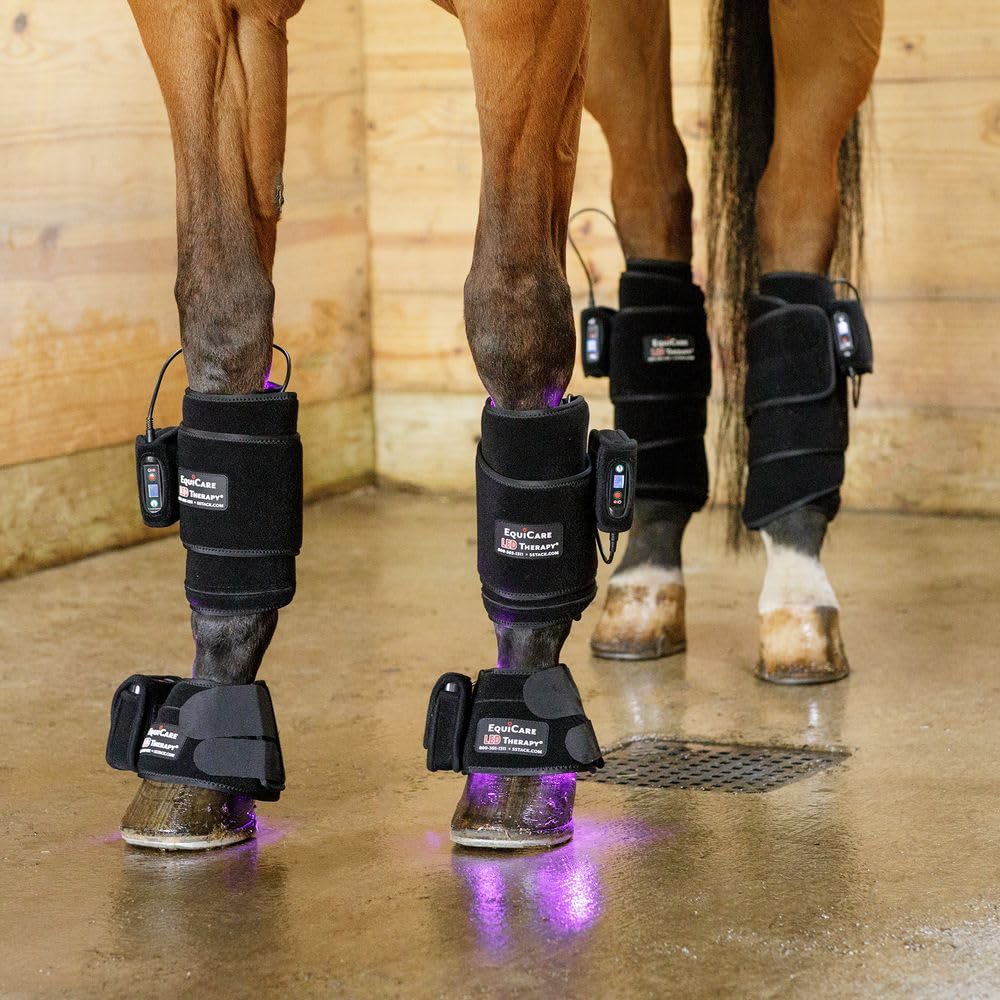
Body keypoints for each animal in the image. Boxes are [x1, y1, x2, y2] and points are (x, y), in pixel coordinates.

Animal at [118, 0, 883, 851]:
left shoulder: (521, 20)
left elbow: (513, 312)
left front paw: (516, 755)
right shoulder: (200, 19)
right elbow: (221, 310)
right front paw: (199, 752)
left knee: (794, 198)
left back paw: (797, 589)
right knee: (655, 189)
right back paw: (646, 574)